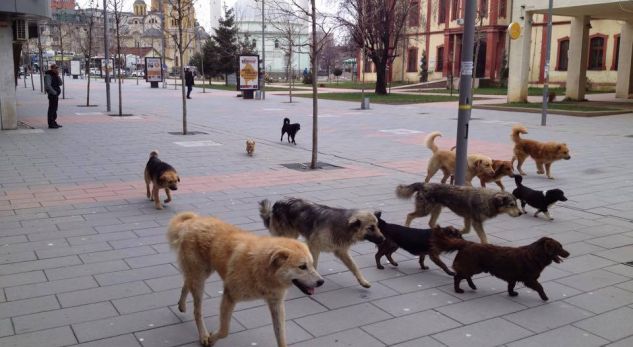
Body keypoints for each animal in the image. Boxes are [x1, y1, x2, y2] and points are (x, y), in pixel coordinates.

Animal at [168, 212, 324, 347]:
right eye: (302, 267)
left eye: (312, 264)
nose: (321, 282)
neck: (260, 270)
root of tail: (194, 220)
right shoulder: (229, 296)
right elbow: (224, 330)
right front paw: (212, 339)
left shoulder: (276, 304)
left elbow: (281, 336)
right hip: (200, 276)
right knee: (197, 310)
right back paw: (204, 335)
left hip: (202, 272)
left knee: (187, 281)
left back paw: (181, 304)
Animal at [258, 198, 386, 288]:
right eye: (370, 228)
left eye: (377, 226)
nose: (384, 239)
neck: (345, 226)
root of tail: (278, 203)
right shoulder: (314, 246)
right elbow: (313, 264)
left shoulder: (341, 251)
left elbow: (354, 267)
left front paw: (363, 281)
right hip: (288, 234)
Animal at [396, 182, 524, 245]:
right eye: (511, 205)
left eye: (516, 204)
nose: (520, 213)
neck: (488, 200)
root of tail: (423, 184)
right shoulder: (476, 222)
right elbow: (483, 237)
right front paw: (486, 245)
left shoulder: (468, 218)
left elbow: (466, 230)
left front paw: (457, 233)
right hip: (424, 211)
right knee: (410, 215)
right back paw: (407, 227)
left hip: (436, 209)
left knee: (431, 223)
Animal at [432, 234, 572, 302]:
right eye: (559, 247)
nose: (569, 253)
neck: (535, 255)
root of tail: (466, 243)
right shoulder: (530, 279)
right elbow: (540, 287)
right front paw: (544, 297)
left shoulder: (513, 277)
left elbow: (511, 286)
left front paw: (512, 294)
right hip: (472, 267)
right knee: (458, 277)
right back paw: (458, 290)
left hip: (474, 267)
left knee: (466, 276)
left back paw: (472, 286)